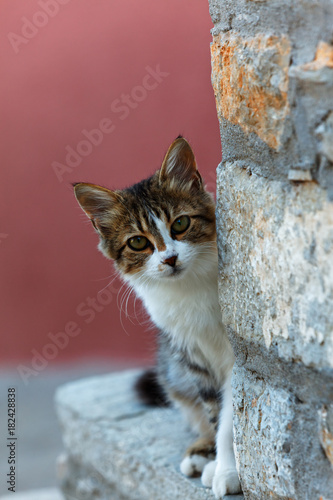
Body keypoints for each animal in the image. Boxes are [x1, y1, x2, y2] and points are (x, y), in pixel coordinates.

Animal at [72, 138, 240, 500]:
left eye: (180, 224)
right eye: (138, 242)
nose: (170, 258)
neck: (189, 290)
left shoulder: (237, 355)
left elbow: (231, 416)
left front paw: (227, 470)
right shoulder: (190, 354)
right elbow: (215, 411)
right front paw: (217, 461)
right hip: (173, 369)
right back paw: (200, 452)